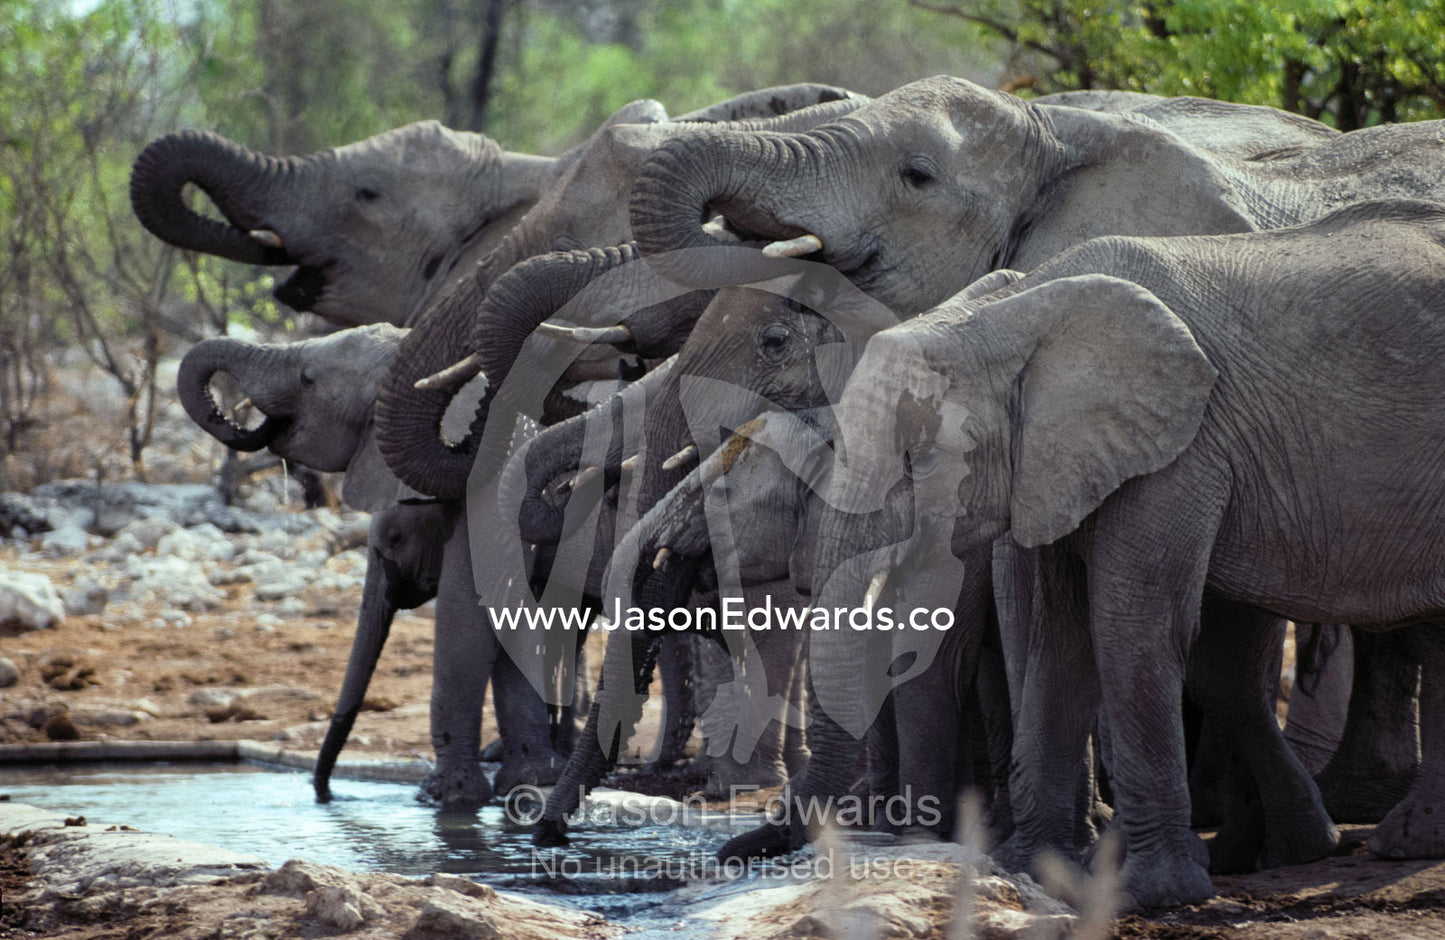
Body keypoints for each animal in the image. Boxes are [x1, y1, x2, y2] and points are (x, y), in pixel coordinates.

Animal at [809, 199, 1445, 907]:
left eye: (918, 456)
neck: (1016, 313)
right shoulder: (1066, 458)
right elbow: (1060, 638)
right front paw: (1037, 871)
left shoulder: (1182, 445)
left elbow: (1131, 626)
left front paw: (1157, 893)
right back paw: (1382, 844)